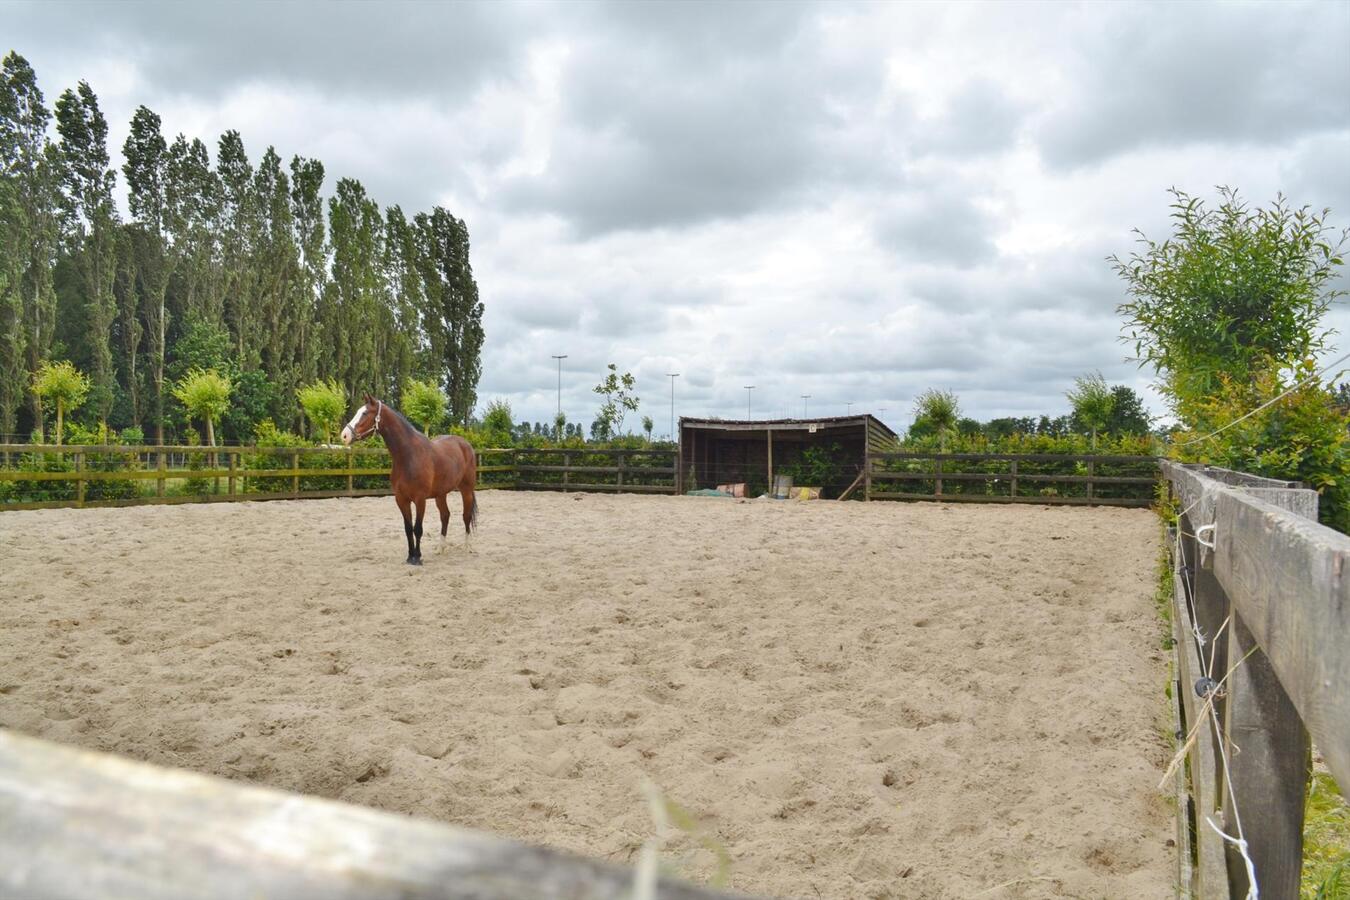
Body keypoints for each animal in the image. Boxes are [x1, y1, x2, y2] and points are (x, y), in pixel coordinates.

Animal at [340, 391, 477, 564]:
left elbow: (417, 529)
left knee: (466, 516)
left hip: (466, 490)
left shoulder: (420, 499)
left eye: (364, 413)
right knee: (445, 516)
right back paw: (440, 548)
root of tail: (465, 444)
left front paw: (417, 557)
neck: (409, 455)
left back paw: (468, 547)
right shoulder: (401, 499)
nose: (344, 435)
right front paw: (410, 556)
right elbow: (408, 528)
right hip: (441, 494)